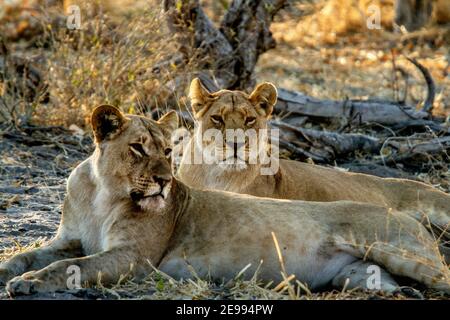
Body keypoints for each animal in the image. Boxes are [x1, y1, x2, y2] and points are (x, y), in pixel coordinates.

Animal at [0, 105, 448, 296]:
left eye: (169, 151)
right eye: (139, 148)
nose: (164, 182)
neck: (103, 193)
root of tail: (409, 217)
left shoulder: (135, 258)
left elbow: (70, 267)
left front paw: (29, 283)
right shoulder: (69, 238)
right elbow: (26, 257)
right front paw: (14, 272)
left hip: (392, 247)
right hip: (356, 274)